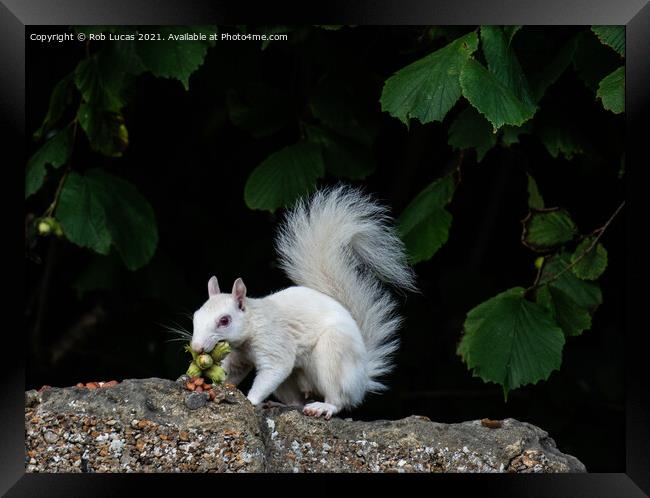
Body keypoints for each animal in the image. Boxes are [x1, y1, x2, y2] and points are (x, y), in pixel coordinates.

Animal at [190, 185, 418, 418]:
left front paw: (251, 400)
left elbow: (274, 370)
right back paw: (281, 405)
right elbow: (233, 373)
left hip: (332, 356)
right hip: (293, 382)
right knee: (297, 400)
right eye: (195, 317)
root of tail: (361, 377)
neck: (252, 325)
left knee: (338, 399)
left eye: (224, 320)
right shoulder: (239, 356)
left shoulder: (275, 343)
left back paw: (323, 407)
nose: (197, 347)